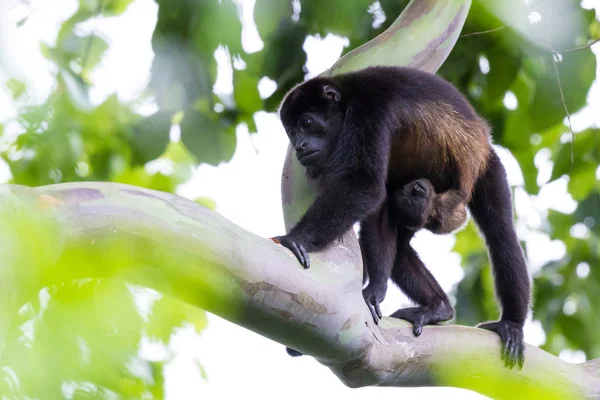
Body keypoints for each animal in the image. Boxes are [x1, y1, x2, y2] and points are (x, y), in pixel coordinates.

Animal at [274, 66, 532, 368]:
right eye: (292, 132)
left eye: (307, 123)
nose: (300, 146)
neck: (346, 100)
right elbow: (377, 207)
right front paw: (375, 289)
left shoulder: (369, 114)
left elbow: (363, 184)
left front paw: (295, 240)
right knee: (398, 240)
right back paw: (438, 308)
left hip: (486, 167)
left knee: (501, 235)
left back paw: (511, 325)